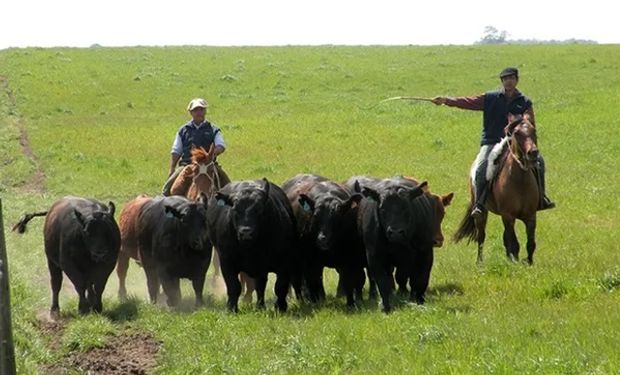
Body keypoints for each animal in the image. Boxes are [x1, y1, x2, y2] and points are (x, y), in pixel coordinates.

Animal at [207, 178, 302, 312]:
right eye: (235, 209)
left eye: (259, 209)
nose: (246, 232)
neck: (252, 248)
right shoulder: (227, 262)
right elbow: (234, 286)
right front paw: (231, 308)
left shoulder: (284, 261)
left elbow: (280, 286)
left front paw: (280, 307)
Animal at [284, 175, 366, 306]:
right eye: (316, 215)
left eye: (337, 216)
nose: (322, 239)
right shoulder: (310, 261)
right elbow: (313, 281)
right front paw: (318, 300)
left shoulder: (349, 258)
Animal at [354, 178, 436, 312]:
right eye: (382, 208)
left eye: (406, 207)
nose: (396, 232)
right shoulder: (374, 256)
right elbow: (383, 282)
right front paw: (385, 307)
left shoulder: (425, 253)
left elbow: (420, 279)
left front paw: (419, 302)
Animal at [452, 114, 540, 264]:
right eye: (517, 133)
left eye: (533, 130)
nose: (533, 153)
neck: (520, 180)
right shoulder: (508, 216)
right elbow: (514, 244)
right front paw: (515, 263)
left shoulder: (530, 216)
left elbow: (530, 243)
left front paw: (528, 263)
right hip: (482, 213)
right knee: (481, 236)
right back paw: (480, 262)